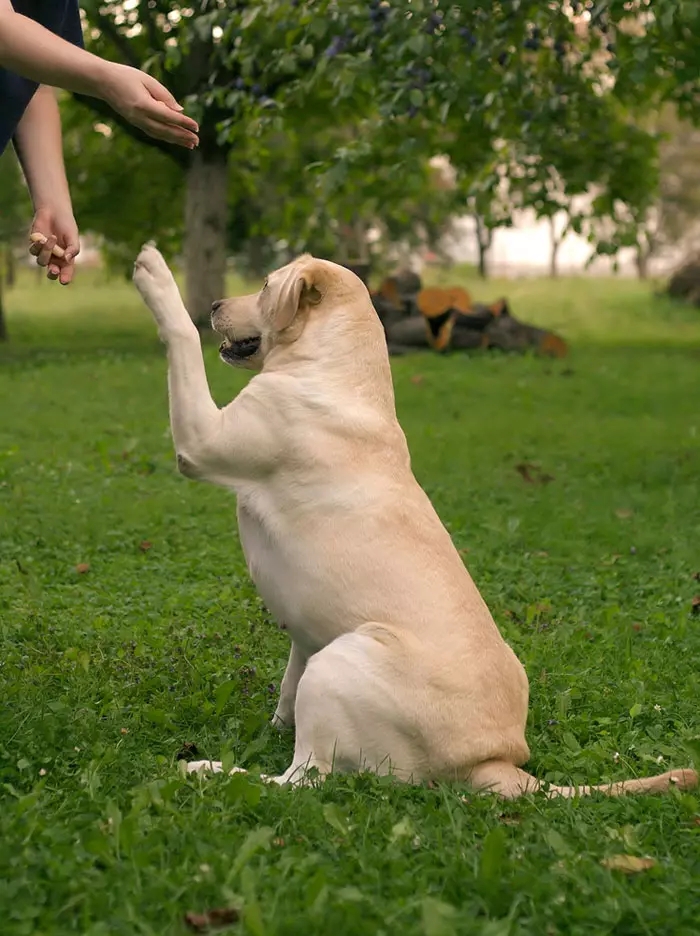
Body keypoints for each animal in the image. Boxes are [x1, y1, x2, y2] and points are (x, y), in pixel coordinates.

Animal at [133, 243, 696, 796]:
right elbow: (290, 674)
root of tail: (495, 763)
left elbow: (181, 338)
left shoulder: (202, 440)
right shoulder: (305, 635)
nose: (214, 306)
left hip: (343, 657)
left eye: (268, 285)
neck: (335, 370)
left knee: (303, 779)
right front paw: (273, 721)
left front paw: (155, 275)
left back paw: (207, 769)